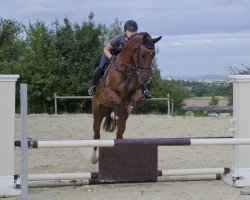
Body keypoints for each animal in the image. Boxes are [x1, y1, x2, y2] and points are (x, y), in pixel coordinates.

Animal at [91, 32, 161, 163]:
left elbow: (138, 97)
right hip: (98, 111)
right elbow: (118, 99)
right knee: (96, 134)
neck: (126, 70)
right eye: (142, 55)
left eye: (153, 55)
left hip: (122, 121)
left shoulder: (136, 91)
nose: (145, 79)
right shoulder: (109, 91)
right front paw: (116, 112)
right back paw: (94, 158)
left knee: (119, 134)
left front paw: (131, 107)